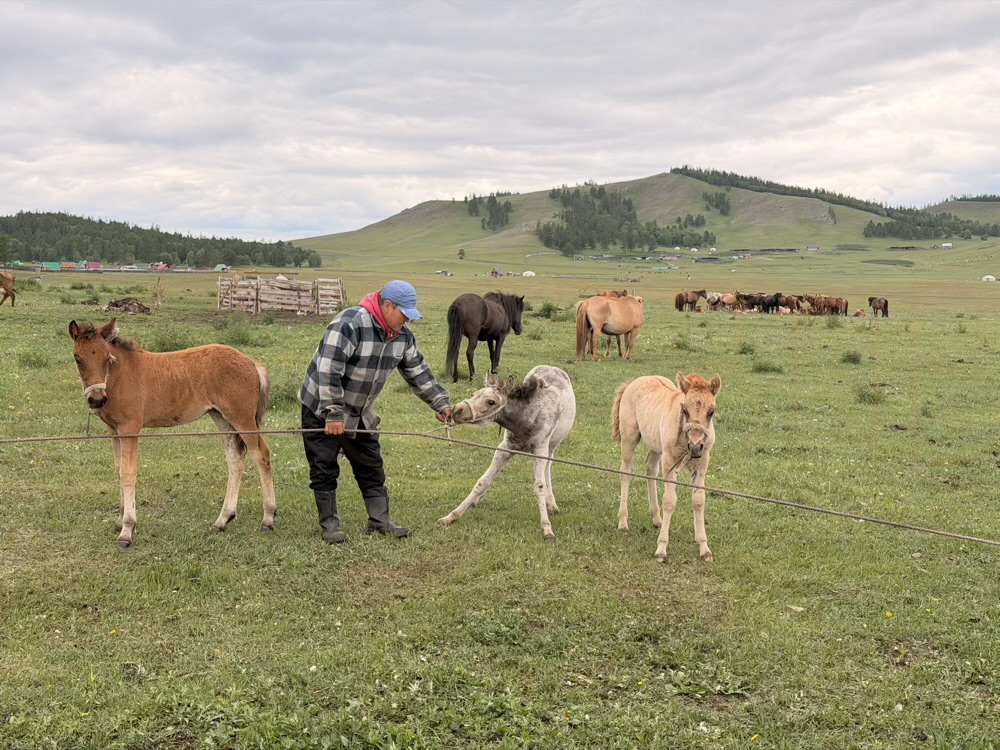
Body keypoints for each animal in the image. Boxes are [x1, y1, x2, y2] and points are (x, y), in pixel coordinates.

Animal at [69, 319, 277, 548]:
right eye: (77, 358)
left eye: (107, 358)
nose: (97, 399)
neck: (120, 376)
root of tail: (252, 363)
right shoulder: (114, 431)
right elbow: (119, 469)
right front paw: (119, 520)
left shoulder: (130, 429)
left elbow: (129, 473)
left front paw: (127, 530)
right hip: (222, 418)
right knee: (235, 457)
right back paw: (223, 520)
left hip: (242, 419)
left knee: (261, 454)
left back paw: (268, 519)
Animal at [437, 366, 576, 540]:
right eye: (475, 394)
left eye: (491, 402)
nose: (457, 410)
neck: (525, 419)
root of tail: (553, 368)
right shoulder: (504, 449)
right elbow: (482, 482)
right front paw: (451, 516)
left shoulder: (540, 451)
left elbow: (539, 487)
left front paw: (547, 529)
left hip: (551, 447)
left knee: (548, 467)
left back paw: (552, 504)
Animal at [612, 372, 722, 562]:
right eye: (684, 410)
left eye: (711, 412)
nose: (695, 446)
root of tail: (635, 381)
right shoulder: (670, 462)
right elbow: (669, 500)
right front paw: (661, 548)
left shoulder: (701, 465)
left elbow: (699, 500)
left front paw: (704, 547)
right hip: (629, 439)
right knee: (626, 472)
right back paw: (623, 521)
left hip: (656, 447)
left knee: (650, 469)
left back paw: (657, 519)